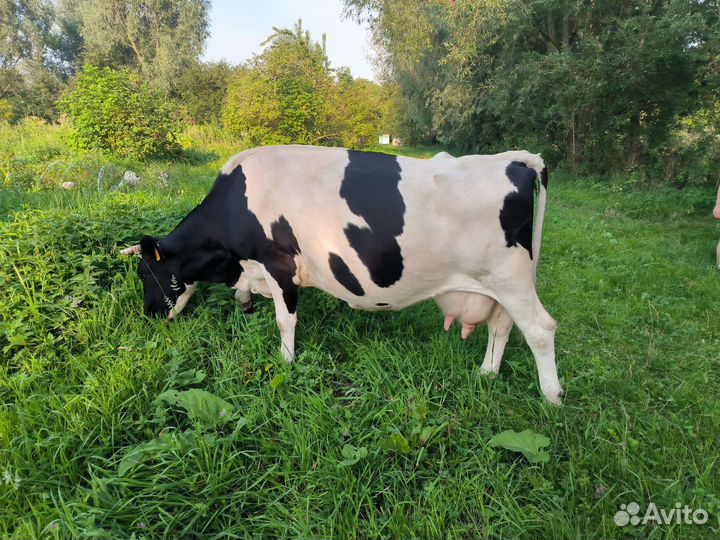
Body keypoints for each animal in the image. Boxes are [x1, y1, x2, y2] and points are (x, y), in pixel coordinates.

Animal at [120, 145, 563, 404]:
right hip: (499, 284)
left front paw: (286, 361)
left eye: (145, 272)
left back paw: (551, 396)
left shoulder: (279, 262)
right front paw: (244, 304)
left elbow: (285, 321)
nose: (148, 315)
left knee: (540, 329)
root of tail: (514, 159)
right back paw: (487, 373)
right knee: (502, 326)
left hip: (511, 278)